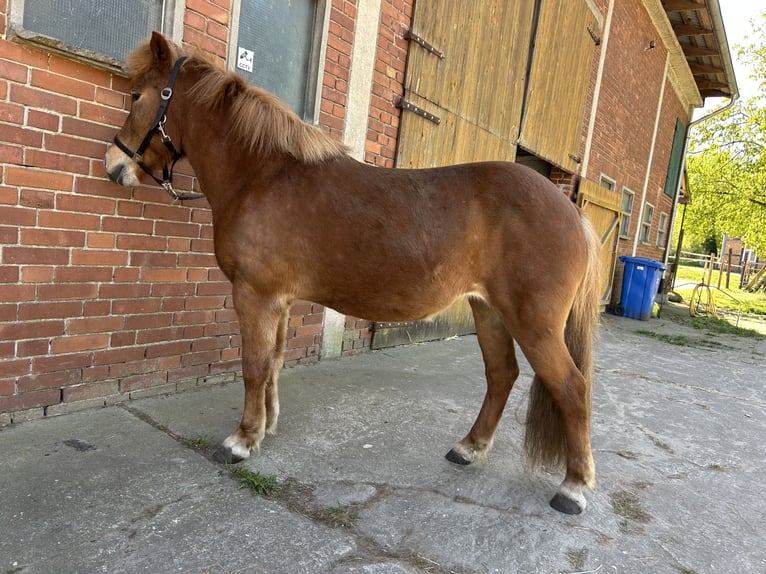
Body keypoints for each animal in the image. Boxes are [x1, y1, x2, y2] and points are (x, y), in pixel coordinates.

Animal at [104, 32, 601, 515]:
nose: (114, 166)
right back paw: (469, 448)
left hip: (533, 323)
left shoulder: (255, 295)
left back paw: (573, 488)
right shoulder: (278, 300)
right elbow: (273, 364)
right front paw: (266, 426)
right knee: (501, 376)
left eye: (136, 95)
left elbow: (253, 366)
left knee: (572, 388)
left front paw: (241, 440)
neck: (264, 176)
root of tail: (573, 213)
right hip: (489, 312)